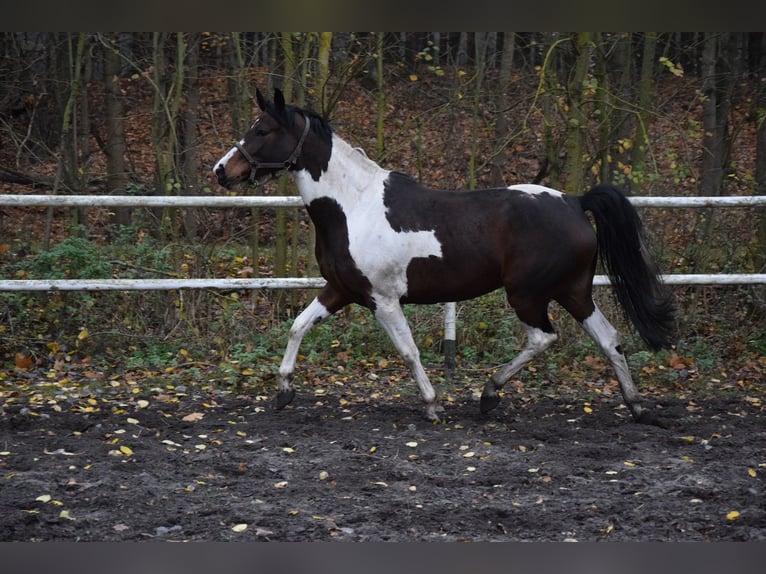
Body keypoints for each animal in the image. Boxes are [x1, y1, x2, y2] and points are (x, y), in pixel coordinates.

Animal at [213, 88, 676, 426]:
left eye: (263, 129)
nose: (221, 170)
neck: (353, 206)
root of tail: (576, 202)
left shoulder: (382, 300)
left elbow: (408, 351)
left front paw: (433, 404)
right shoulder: (340, 289)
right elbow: (298, 326)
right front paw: (284, 391)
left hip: (527, 293)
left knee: (544, 338)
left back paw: (490, 394)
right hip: (574, 290)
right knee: (609, 339)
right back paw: (635, 405)